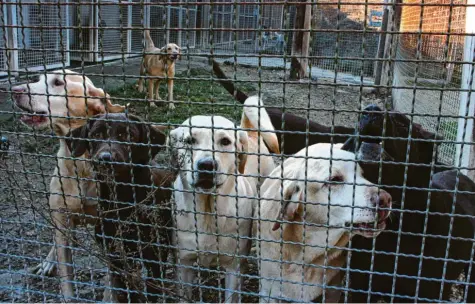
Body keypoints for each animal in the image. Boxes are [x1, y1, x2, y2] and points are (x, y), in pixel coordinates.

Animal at [10, 70, 124, 300]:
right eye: (37, 79)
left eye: (58, 82)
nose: (14, 90)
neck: (81, 164)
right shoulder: (61, 220)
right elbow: (66, 280)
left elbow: (110, 280)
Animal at [168, 96, 278, 300]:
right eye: (189, 140)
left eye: (225, 141)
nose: (206, 165)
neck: (208, 212)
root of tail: (250, 133)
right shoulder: (183, 263)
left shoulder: (234, 267)